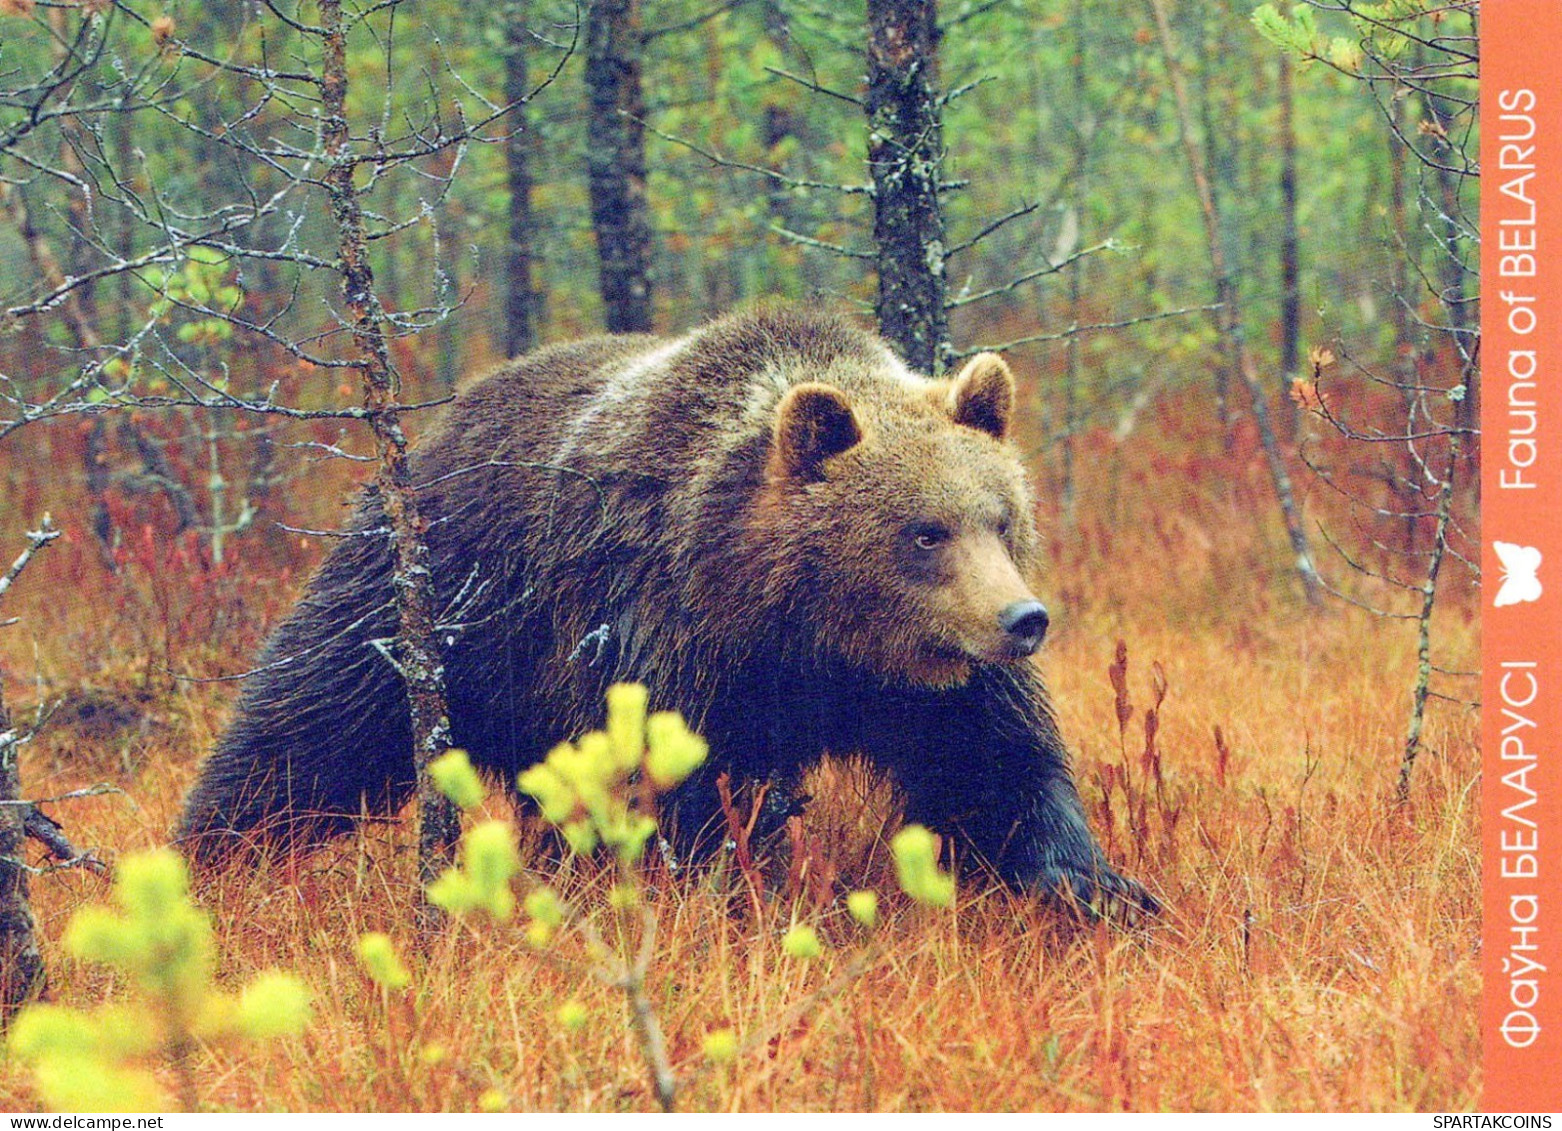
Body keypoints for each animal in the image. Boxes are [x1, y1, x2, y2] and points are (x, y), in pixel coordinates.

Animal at [179, 304, 1162, 912]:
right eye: (925, 531)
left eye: (1000, 518)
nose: (1022, 619)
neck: (801, 631)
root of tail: (446, 420)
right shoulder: (666, 637)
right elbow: (680, 794)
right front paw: (725, 897)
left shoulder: (930, 684)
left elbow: (998, 768)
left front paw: (1101, 890)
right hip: (437, 592)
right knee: (310, 721)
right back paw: (211, 854)